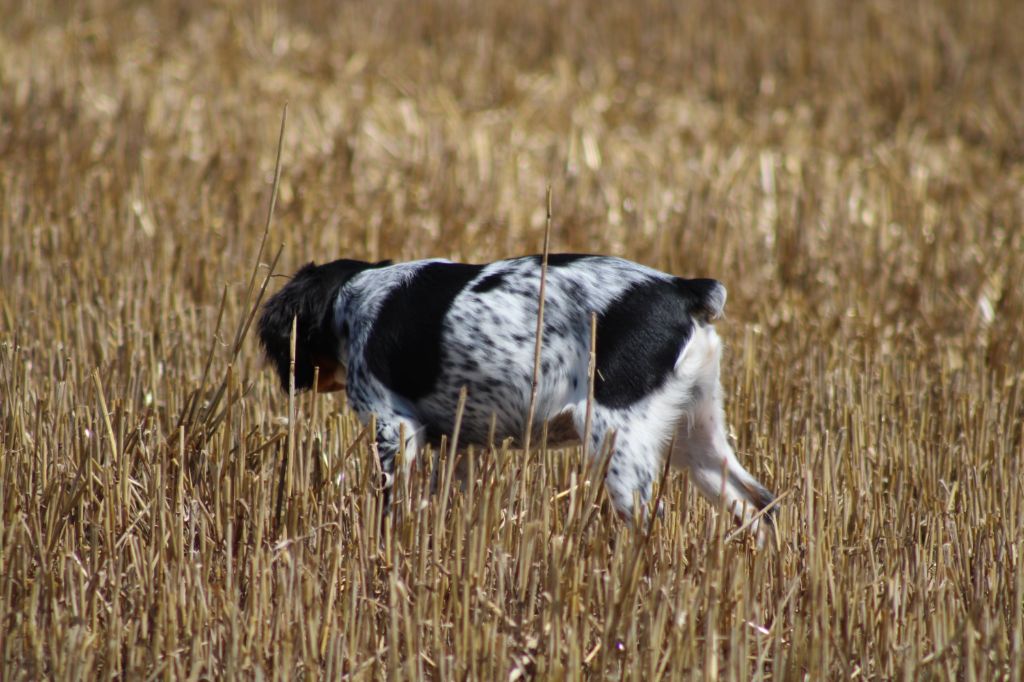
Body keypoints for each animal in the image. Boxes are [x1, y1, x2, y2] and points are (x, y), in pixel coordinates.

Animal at [258, 251, 774, 540]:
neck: (355, 296)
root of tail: (684, 290)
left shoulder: (394, 426)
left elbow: (392, 503)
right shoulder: (459, 445)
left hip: (617, 440)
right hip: (697, 437)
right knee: (759, 505)